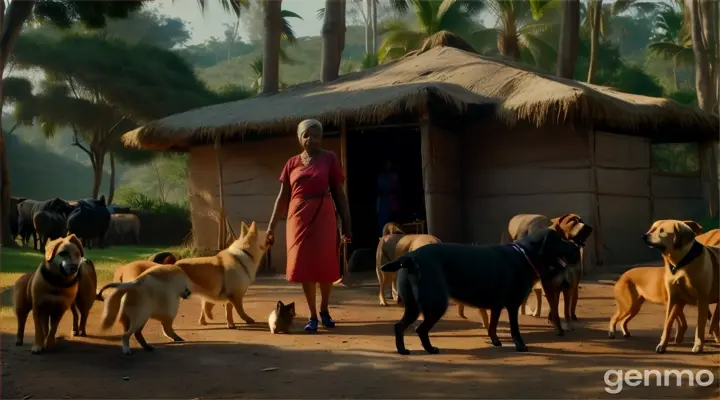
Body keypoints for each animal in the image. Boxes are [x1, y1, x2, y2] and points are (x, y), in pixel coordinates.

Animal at [380, 228, 584, 356]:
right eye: (560, 240)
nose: (577, 247)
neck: (525, 254)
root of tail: (410, 257)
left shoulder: (496, 306)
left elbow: (492, 326)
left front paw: (495, 342)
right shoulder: (512, 305)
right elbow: (515, 329)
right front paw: (520, 346)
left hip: (414, 306)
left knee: (399, 326)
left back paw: (403, 350)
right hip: (435, 303)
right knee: (420, 329)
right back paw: (430, 350)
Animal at [644, 219, 720, 354]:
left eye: (662, 231)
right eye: (652, 229)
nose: (644, 236)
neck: (682, 263)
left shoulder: (702, 299)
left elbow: (700, 325)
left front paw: (698, 345)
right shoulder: (673, 299)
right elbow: (668, 323)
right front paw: (662, 344)